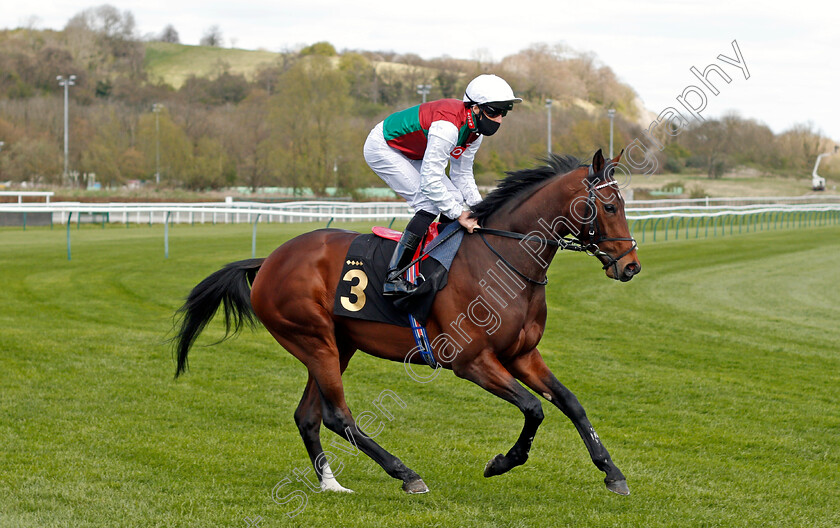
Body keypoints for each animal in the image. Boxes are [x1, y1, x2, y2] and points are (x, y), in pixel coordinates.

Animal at [174, 147, 640, 496]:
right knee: (338, 416)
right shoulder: (471, 362)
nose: (631, 266)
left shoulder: (522, 354)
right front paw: (502, 462)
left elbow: (571, 403)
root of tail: (269, 260)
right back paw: (405, 473)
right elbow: (533, 408)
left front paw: (612, 472)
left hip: (336, 345)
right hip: (313, 340)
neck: (503, 261)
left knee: (309, 416)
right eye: (610, 205)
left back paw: (331, 484)